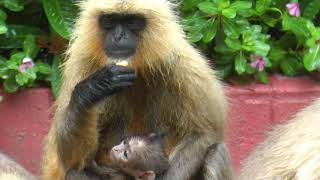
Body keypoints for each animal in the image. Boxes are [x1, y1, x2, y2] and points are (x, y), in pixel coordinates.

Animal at [40, 0, 232, 180]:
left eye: (131, 21)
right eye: (110, 20)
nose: (118, 36)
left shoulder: (181, 61)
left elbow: (204, 134)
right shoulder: (83, 63)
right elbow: (70, 158)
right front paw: (94, 88)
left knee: (216, 151)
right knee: (74, 172)